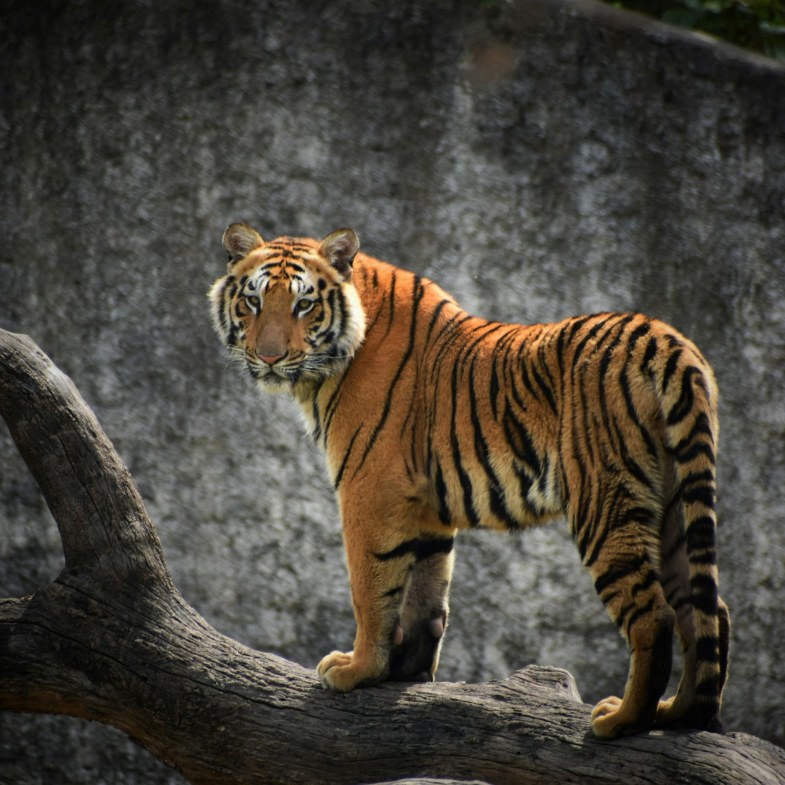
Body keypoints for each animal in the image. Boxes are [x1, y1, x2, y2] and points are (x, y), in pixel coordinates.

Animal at [208, 223, 730, 739]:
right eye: (253, 301)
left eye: (304, 305)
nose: (269, 357)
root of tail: (666, 340)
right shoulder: (425, 506)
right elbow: (426, 592)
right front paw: (406, 672)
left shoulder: (369, 488)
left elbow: (371, 586)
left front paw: (358, 670)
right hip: (675, 505)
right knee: (706, 611)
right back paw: (679, 714)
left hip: (604, 502)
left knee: (654, 616)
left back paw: (621, 721)